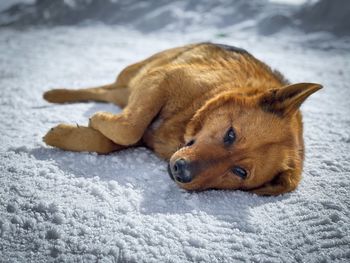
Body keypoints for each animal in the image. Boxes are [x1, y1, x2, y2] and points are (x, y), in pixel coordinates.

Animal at [42, 42, 322, 196]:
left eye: (240, 172)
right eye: (230, 134)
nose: (182, 171)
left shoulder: (145, 132)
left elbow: (116, 139)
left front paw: (69, 133)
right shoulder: (162, 78)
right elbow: (130, 128)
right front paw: (96, 118)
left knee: (107, 93)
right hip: (136, 73)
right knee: (103, 89)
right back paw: (55, 94)